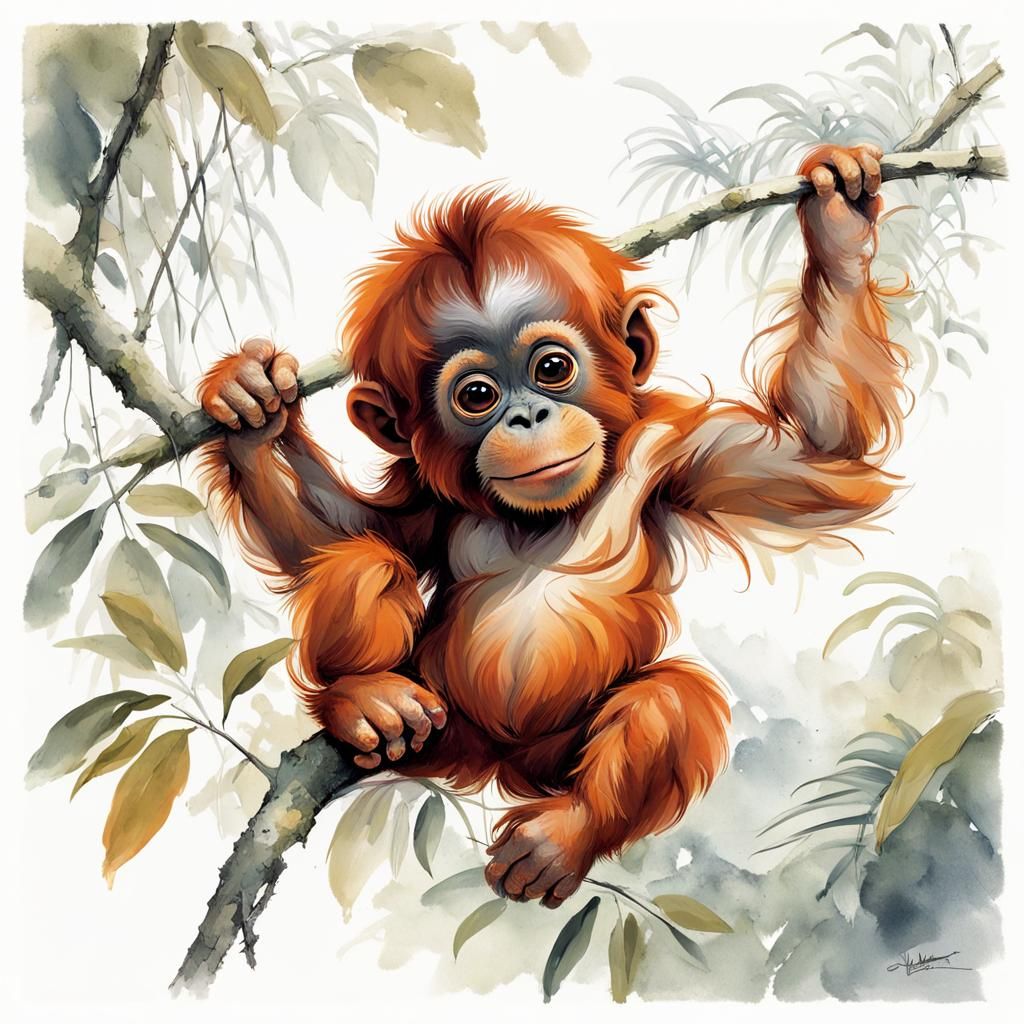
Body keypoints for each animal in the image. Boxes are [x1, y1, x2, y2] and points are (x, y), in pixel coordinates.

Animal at [198, 144, 906, 909]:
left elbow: (815, 452)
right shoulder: (429, 498)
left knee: (670, 697)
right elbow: (349, 532)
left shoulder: (677, 446)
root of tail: (494, 761)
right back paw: (363, 698)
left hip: (555, 753)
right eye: (477, 395)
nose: (528, 415)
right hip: (442, 714)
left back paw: (562, 836)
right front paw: (252, 404)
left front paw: (838, 225)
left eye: (553, 366)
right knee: (366, 563)